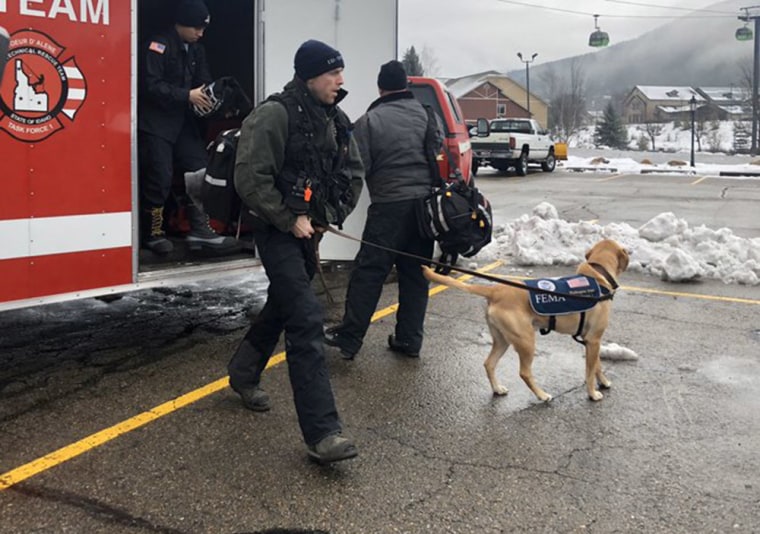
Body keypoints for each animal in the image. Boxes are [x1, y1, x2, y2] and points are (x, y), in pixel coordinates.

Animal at [422, 241, 628, 404]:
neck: (598, 275)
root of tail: (495, 290)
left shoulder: (591, 340)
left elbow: (597, 365)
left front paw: (603, 382)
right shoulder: (594, 339)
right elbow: (590, 371)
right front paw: (593, 393)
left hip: (502, 340)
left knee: (489, 363)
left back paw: (497, 388)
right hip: (526, 340)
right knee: (524, 372)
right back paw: (542, 395)